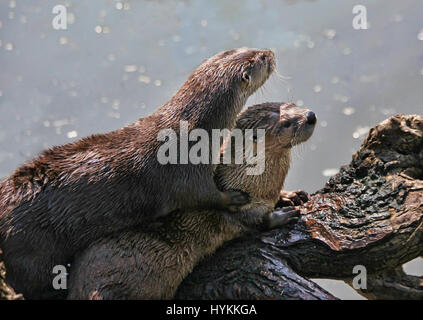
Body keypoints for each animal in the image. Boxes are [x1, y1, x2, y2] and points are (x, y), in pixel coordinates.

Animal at [0, 48, 276, 300]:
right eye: (260, 59)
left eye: (248, 48)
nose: (270, 52)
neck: (194, 133)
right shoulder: (187, 174)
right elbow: (207, 196)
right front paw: (236, 197)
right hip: (29, 251)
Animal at [68, 102, 316, 300]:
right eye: (286, 123)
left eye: (294, 104)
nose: (311, 115)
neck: (254, 181)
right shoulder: (238, 206)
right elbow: (254, 220)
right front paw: (282, 216)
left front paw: (289, 195)